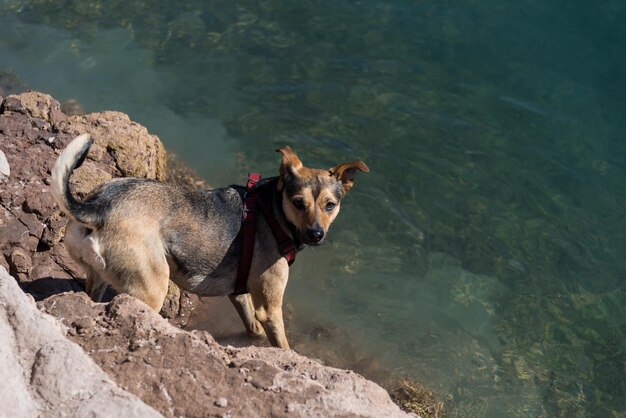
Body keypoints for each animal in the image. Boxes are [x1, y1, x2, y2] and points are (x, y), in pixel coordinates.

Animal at [52, 134, 366, 350]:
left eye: (330, 205)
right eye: (298, 202)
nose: (316, 234)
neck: (273, 210)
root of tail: (98, 207)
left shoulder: (240, 294)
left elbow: (253, 329)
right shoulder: (270, 308)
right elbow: (283, 345)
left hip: (97, 277)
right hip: (151, 287)